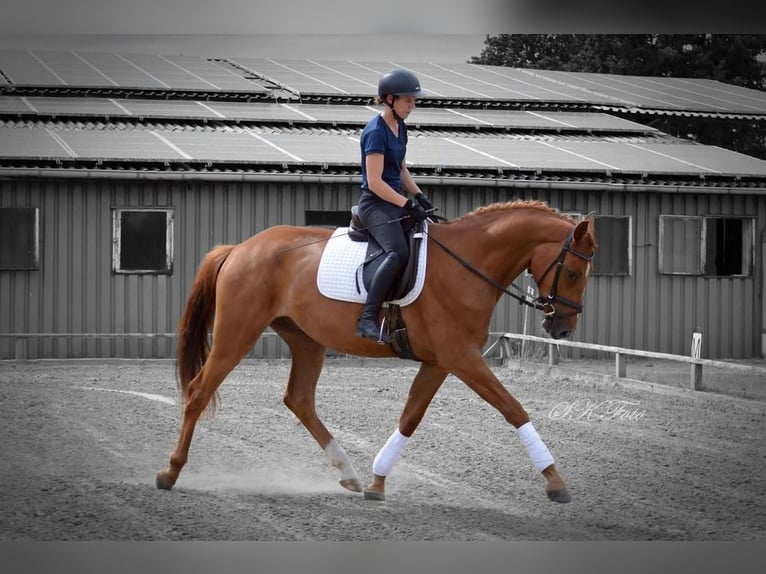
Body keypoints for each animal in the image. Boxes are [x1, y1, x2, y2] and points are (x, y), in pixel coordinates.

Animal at [156, 199, 597, 503]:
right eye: (575, 273)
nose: (561, 328)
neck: (468, 265)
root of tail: (239, 248)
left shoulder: (440, 362)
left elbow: (410, 417)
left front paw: (377, 482)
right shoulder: (462, 358)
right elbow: (513, 408)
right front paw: (556, 481)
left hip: (307, 340)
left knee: (299, 399)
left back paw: (349, 472)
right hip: (237, 333)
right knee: (199, 392)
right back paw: (170, 473)